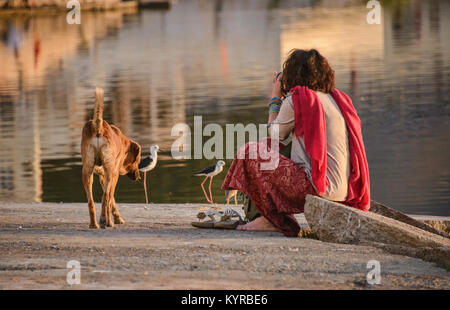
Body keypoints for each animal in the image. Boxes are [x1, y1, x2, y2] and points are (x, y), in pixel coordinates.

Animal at [81, 87, 141, 228]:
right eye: (138, 160)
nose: (139, 177)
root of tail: (98, 127)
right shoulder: (114, 174)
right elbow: (110, 198)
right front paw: (113, 220)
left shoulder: (103, 177)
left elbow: (112, 201)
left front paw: (115, 218)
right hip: (108, 172)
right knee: (106, 197)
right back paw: (104, 221)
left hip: (87, 172)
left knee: (91, 201)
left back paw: (94, 224)